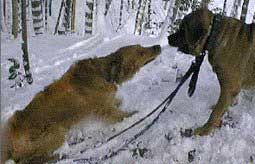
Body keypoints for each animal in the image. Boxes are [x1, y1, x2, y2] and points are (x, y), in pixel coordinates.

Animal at [0, 44, 161, 163]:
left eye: (141, 47)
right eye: (141, 52)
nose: (157, 46)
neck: (104, 73)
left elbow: (116, 102)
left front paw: (119, 102)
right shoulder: (103, 108)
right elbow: (120, 114)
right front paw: (134, 114)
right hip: (55, 133)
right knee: (25, 160)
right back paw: (57, 155)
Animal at [168, 8, 254, 136]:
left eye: (183, 29)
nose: (168, 38)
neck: (213, 34)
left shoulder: (230, 87)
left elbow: (215, 113)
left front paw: (204, 130)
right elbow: (221, 106)